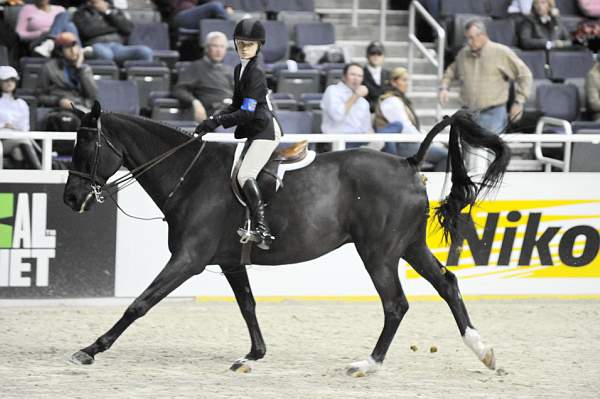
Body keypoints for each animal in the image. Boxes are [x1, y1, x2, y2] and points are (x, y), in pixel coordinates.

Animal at [64, 101, 506, 376]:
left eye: (86, 147)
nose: (70, 198)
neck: (189, 175)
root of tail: (408, 162)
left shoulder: (188, 259)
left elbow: (140, 304)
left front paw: (90, 349)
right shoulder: (230, 262)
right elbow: (248, 305)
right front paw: (253, 355)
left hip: (379, 253)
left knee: (396, 304)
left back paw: (369, 364)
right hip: (410, 247)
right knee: (447, 283)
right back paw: (483, 351)